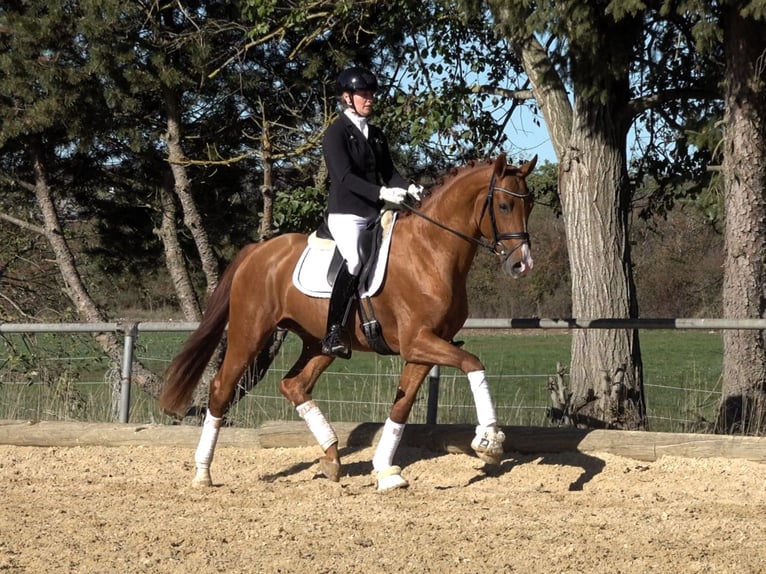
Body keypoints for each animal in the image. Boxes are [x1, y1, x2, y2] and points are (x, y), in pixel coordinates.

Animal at [159, 152, 537, 492]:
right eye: (504, 206)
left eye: (530, 205)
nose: (522, 265)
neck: (430, 251)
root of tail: (258, 250)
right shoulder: (418, 341)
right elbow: (473, 364)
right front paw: (489, 440)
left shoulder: (425, 346)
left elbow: (401, 407)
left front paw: (385, 471)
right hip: (249, 333)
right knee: (221, 388)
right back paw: (202, 473)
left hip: (319, 343)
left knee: (294, 385)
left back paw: (331, 457)